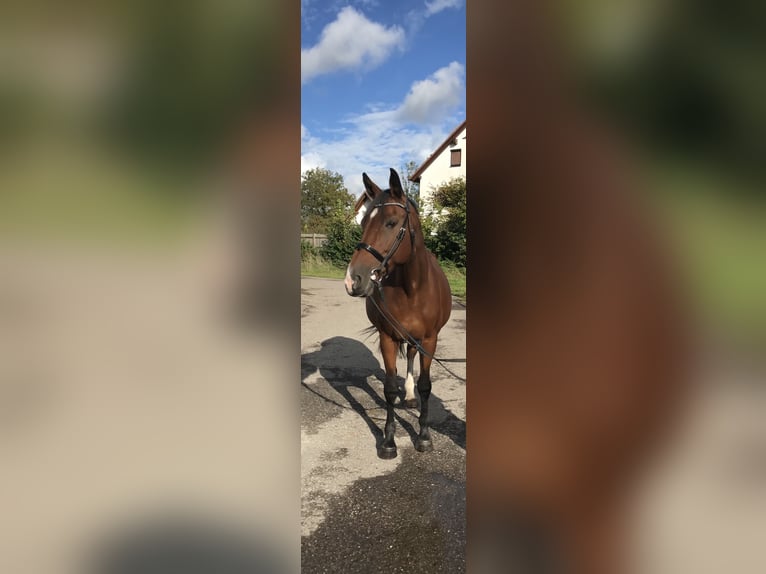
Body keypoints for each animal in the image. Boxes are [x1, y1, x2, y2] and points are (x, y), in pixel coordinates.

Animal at [344, 169, 452, 462]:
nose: (352, 280)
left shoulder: (429, 340)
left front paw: (424, 436)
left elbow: (426, 386)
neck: (411, 289)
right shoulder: (388, 338)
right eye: (363, 223)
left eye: (391, 223)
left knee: (412, 359)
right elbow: (389, 388)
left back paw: (411, 396)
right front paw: (388, 441)